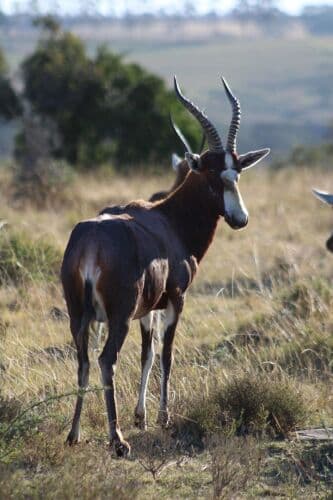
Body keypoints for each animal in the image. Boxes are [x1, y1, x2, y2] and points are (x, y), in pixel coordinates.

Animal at [61, 76, 270, 456]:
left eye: (237, 172)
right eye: (212, 173)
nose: (240, 219)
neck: (168, 219)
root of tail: (92, 241)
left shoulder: (148, 309)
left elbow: (148, 353)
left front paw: (141, 416)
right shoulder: (176, 299)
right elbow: (168, 354)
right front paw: (163, 417)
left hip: (79, 316)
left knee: (83, 360)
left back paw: (74, 434)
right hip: (117, 317)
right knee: (106, 360)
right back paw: (118, 442)